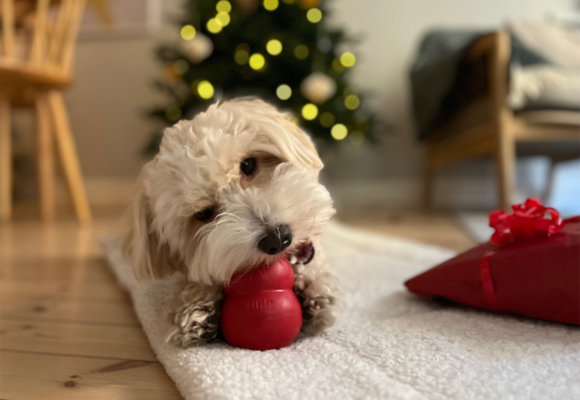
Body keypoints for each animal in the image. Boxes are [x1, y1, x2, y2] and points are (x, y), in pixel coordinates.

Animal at [124, 97, 338, 346]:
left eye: (248, 165)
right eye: (203, 214)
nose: (277, 239)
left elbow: (315, 262)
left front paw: (314, 289)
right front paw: (197, 306)